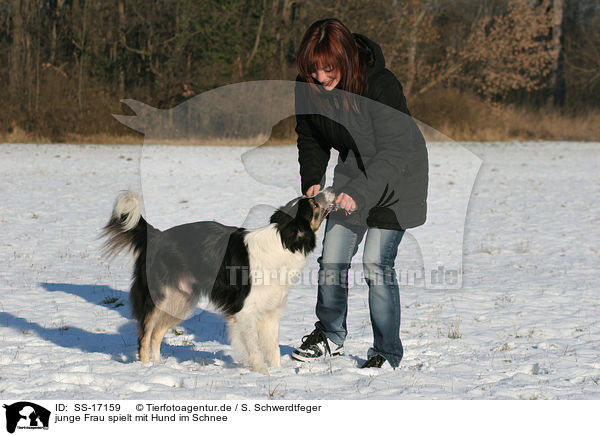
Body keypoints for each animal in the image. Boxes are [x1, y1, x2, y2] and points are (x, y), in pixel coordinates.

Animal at [103, 188, 338, 374]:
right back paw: (145, 369)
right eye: (313, 203)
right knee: (144, 335)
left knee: (156, 334)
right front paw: (263, 375)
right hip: (158, 297)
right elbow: (255, 349)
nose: (331, 188)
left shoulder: (270, 313)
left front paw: (278, 373)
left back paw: (159, 366)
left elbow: (273, 349)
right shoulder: (245, 312)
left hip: (180, 301)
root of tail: (157, 235)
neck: (283, 240)